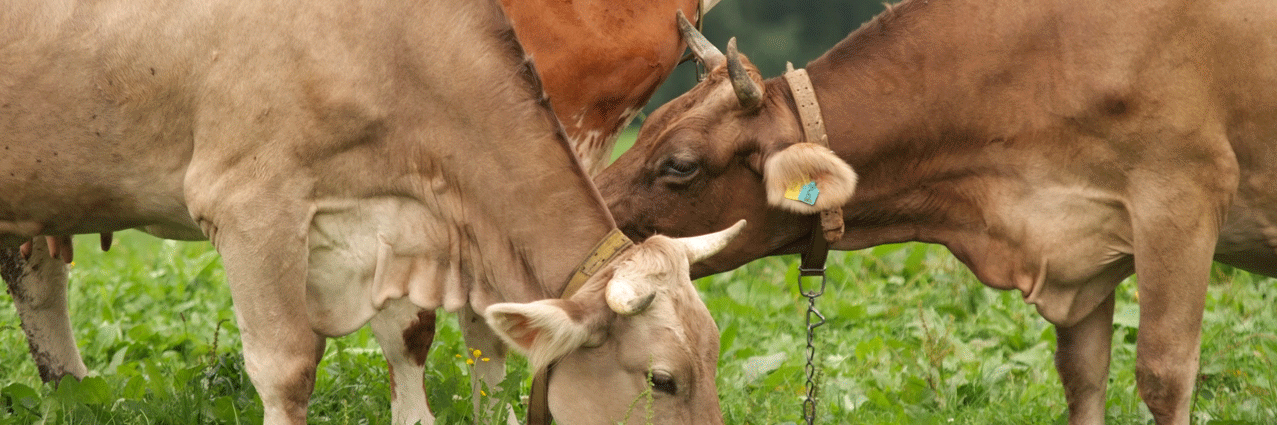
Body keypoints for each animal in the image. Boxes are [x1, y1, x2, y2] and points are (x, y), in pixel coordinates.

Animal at [595, 0, 1277, 423]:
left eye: (679, 165)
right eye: (644, 126)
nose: (592, 210)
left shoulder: (1182, 197)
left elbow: (1164, 375)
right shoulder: (1077, 246)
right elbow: (1082, 378)